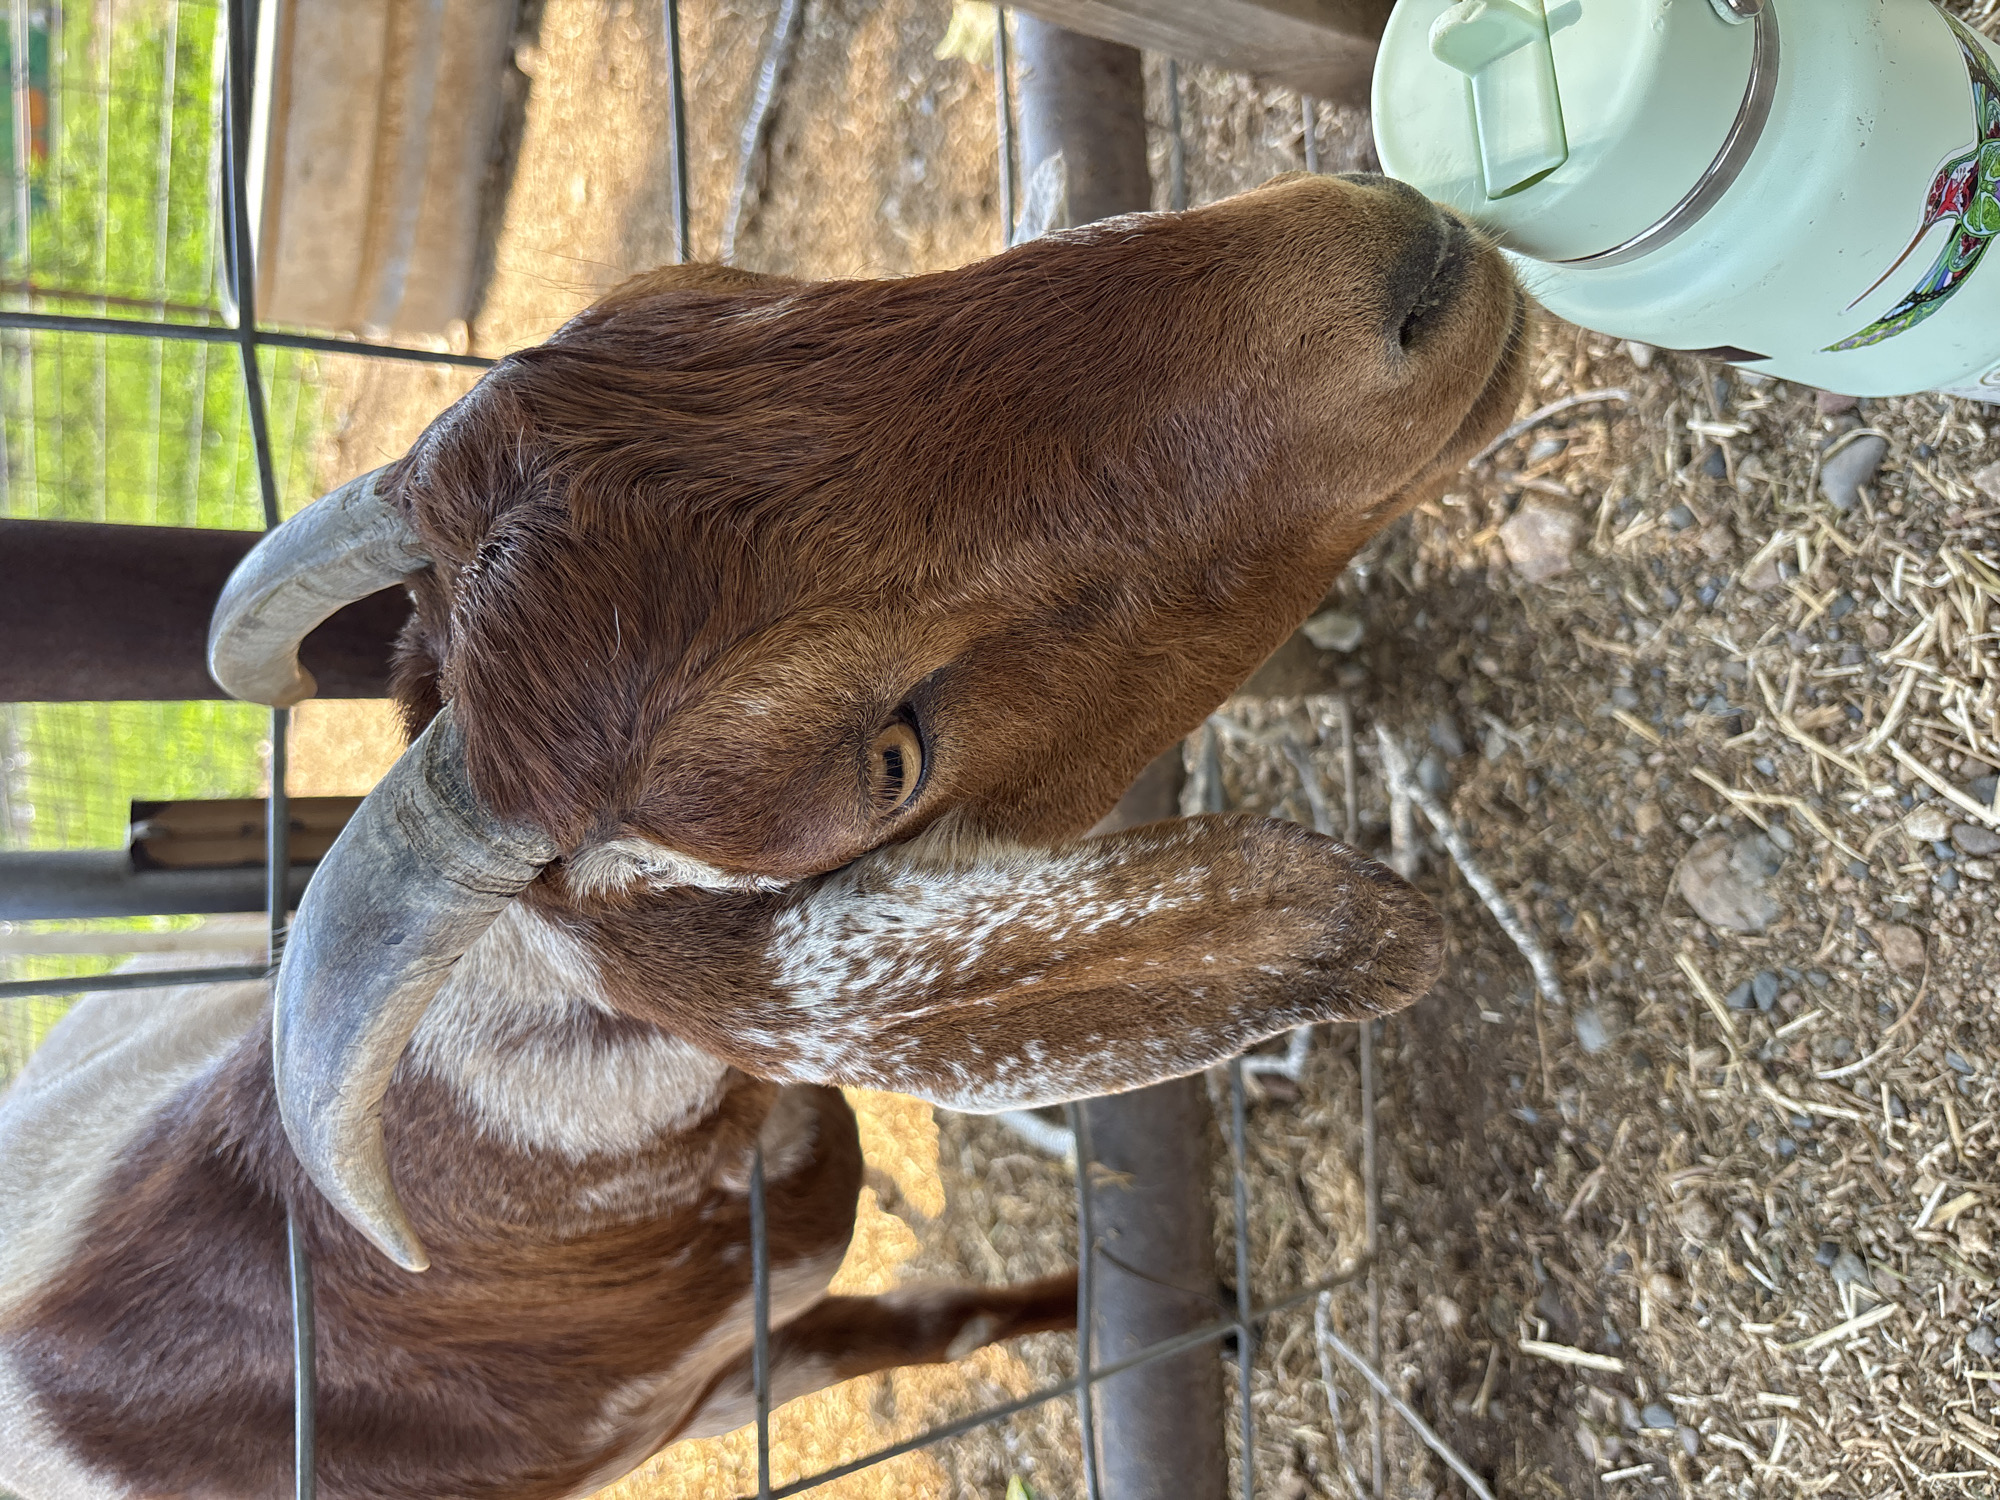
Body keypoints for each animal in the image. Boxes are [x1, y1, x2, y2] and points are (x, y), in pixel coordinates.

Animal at [0, 172, 1526, 1500]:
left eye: (724, 295)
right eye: (887, 758)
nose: (1407, 269)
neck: (482, 1221)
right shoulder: (714, 1392)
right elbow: (921, 1333)